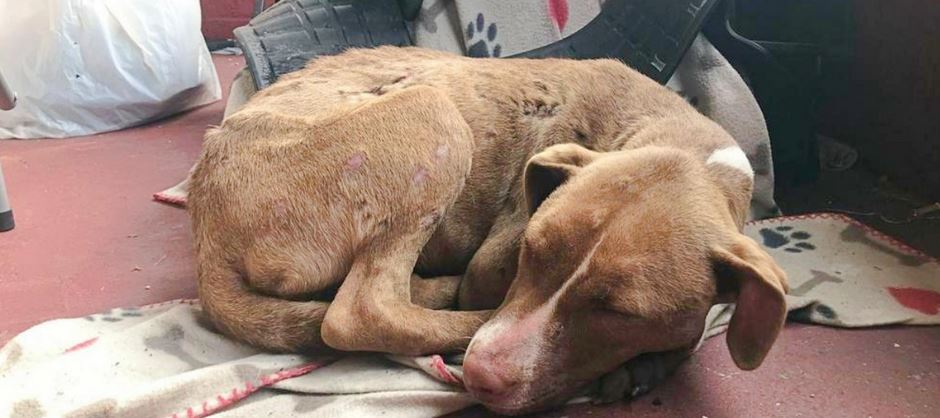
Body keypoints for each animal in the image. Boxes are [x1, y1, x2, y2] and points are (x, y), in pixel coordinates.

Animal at [187, 46, 788, 414]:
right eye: (530, 252)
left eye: (619, 313)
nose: (483, 375)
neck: (684, 143)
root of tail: (204, 226)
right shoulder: (492, 265)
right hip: (433, 116)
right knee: (362, 311)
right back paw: (451, 309)